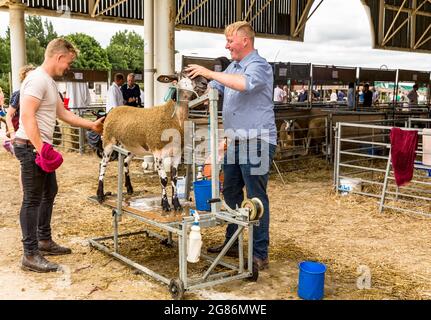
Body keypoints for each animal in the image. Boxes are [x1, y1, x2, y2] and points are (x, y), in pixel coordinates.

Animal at [97, 72, 208, 212]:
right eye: (184, 74)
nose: (205, 82)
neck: (172, 118)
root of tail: (113, 110)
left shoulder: (177, 153)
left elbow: (174, 178)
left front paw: (176, 204)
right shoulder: (158, 152)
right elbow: (164, 179)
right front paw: (165, 205)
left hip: (131, 146)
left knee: (125, 162)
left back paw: (129, 188)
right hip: (108, 141)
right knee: (103, 164)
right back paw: (100, 194)